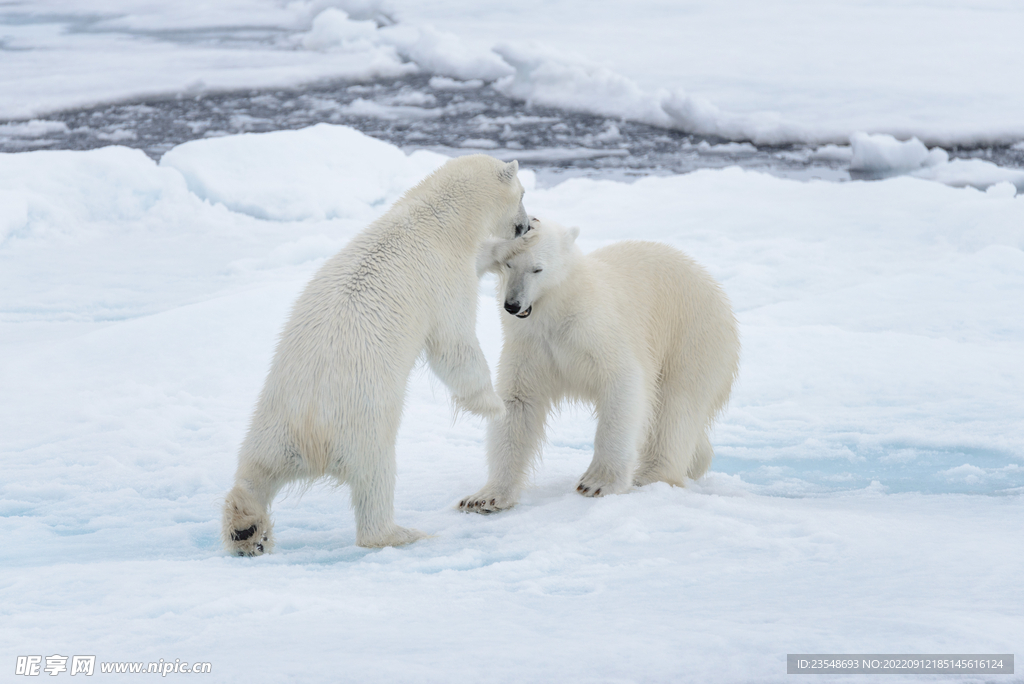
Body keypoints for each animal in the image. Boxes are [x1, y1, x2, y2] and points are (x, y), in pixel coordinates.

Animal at [220, 154, 532, 557]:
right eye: (522, 194)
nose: (527, 225)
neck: (438, 220)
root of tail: (311, 434)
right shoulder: (443, 278)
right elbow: (454, 345)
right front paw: (495, 406)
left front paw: (502, 252)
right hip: (364, 425)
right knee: (376, 481)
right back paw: (402, 533)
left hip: (272, 422)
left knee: (255, 470)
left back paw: (247, 530)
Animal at [460, 216, 741, 509]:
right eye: (508, 264)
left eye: (537, 269)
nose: (513, 304)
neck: (559, 307)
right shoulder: (530, 345)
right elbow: (518, 403)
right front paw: (484, 498)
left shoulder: (595, 330)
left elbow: (623, 383)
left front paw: (596, 483)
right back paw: (696, 461)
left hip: (692, 336)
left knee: (677, 406)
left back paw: (651, 474)